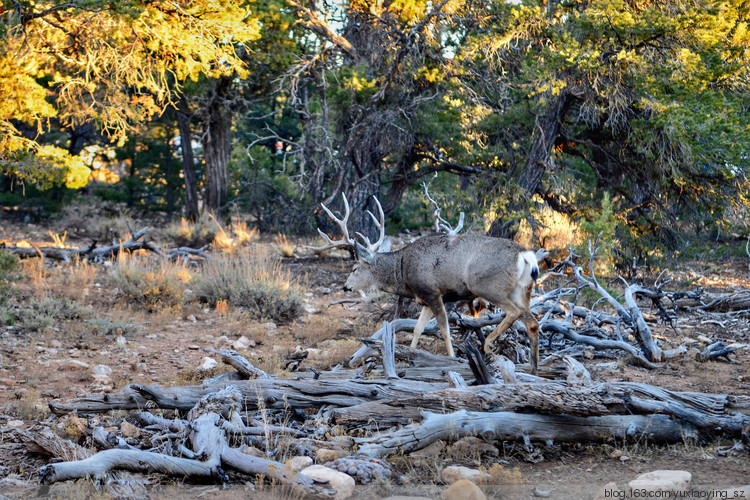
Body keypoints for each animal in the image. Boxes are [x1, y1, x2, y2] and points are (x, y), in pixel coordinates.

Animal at [346, 235, 540, 376]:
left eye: (355, 269)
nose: (346, 286)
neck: (402, 271)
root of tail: (526, 256)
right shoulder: (425, 300)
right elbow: (417, 329)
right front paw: (410, 355)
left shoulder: (433, 293)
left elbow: (445, 330)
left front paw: (453, 358)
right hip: (521, 289)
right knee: (533, 322)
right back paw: (533, 369)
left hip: (488, 286)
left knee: (514, 312)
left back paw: (488, 345)